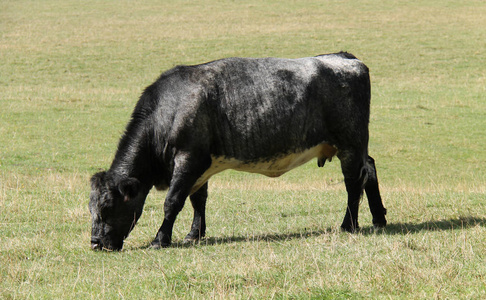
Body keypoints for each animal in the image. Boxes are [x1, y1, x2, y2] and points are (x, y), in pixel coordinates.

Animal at [89, 51, 388, 251]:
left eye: (107, 206)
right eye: (91, 207)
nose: (95, 243)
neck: (170, 109)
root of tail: (344, 57)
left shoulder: (188, 159)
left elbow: (173, 201)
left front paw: (160, 239)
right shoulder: (202, 166)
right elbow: (198, 200)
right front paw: (194, 234)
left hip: (350, 145)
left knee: (353, 184)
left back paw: (349, 225)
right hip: (355, 147)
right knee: (370, 169)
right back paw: (379, 218)